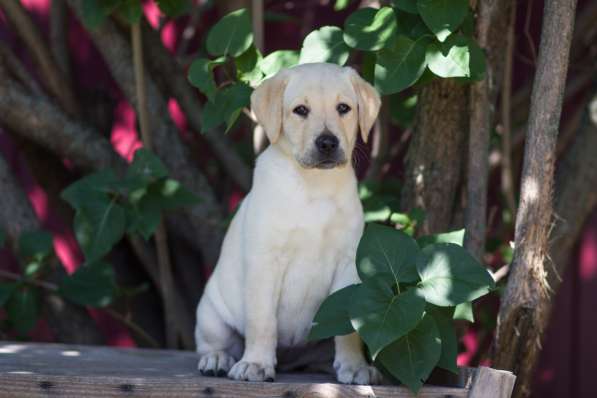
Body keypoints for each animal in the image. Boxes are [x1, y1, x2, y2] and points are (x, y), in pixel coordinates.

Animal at [196, 63, 382, 386]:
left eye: (343, 108)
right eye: (301, 110)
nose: (327, 143)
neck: (313, 186)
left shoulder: (348, 265)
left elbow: (347, 329)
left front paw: (354, 365)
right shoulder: (264, 262)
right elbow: (262, 320)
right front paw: (256, 363)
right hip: (211, 313)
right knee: (214, 342)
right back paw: (218, 359)